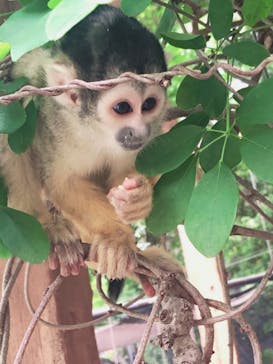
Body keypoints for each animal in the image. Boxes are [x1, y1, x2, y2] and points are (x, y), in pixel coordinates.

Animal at [0, 4, 181, 282]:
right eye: (122, 108)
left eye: (149, 104)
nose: (140, 132)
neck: (95, 129)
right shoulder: (54, 123)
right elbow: (63, 182)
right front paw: (117, 238)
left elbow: (123, 174)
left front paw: (136, 201)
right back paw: (48, 227)